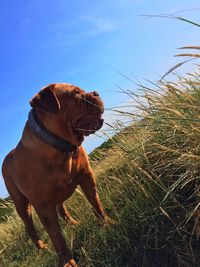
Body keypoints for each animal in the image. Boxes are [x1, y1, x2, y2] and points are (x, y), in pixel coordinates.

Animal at [1, 84, 113, 267]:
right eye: (76, 93)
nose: (96, 92)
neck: (60, 148)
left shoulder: (87, 178)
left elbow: (96, 205)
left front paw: (108, 222)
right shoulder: (43, 206)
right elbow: (57, 238)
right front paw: (67, 261)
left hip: (58, 196)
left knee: (62, 209)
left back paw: (73, 223)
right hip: (22, 205)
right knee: (30, 228)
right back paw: (41, 247)